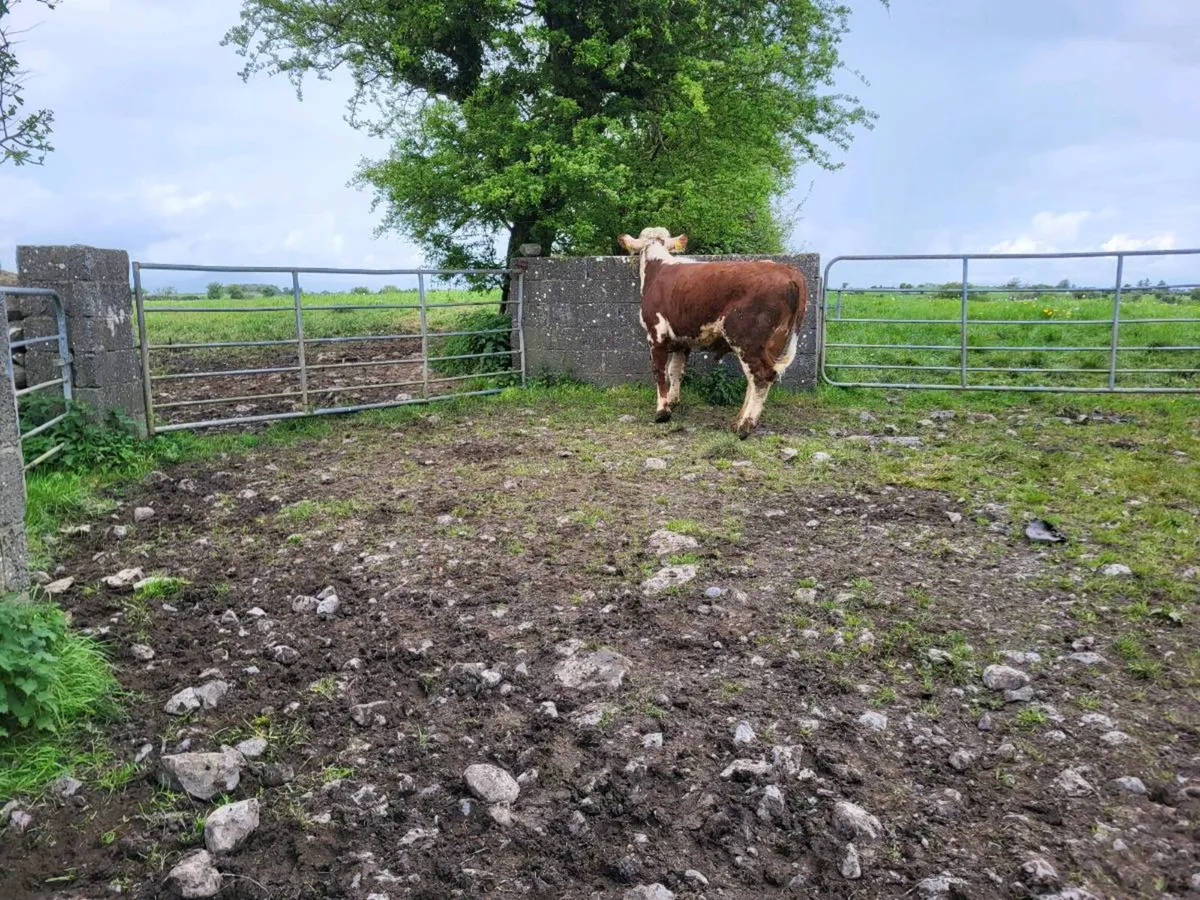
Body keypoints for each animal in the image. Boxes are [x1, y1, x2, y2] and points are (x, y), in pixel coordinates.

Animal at [617, 226, 808, 438]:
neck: (658, 268)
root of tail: (787, 270)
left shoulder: (656, 333)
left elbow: (658, 370)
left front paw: (662, 411)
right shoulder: (682, 340)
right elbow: (675, 371)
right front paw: (673, 402)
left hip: (746, 338)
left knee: (761, 376)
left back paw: (745, 425)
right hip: (772, 343)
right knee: (755, 378)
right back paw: (738, 420)